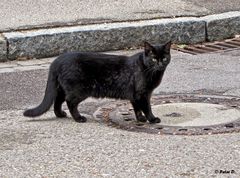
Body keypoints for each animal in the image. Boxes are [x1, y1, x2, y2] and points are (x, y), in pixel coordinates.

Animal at [23, 41, 171, 123]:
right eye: (153, 58)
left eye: (164, 58)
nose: (160, 64)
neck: (149, 70)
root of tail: (57, 60)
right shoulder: (142, 94)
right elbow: (147, 108)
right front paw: (152, 119)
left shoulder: (135, 95)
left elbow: (137, 108)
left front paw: (140, 119)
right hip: (79, 89)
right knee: (70, 102)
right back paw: (79, 118)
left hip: (63, 87)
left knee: (58, 100)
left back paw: (60, 114)